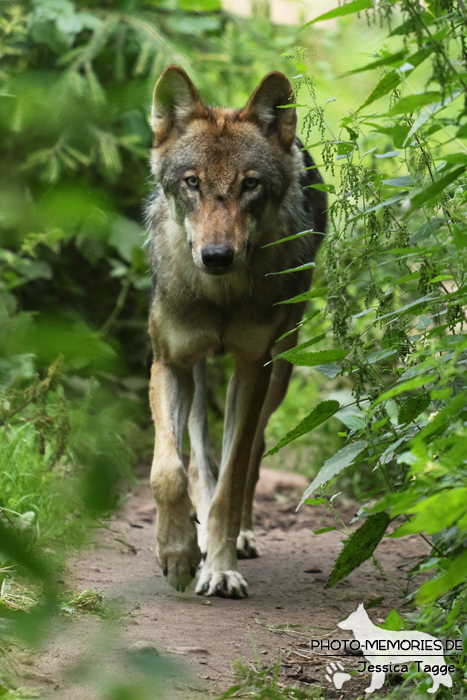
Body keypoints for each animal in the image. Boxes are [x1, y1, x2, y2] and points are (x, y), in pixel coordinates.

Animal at [145, 65, 326, 600]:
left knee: (252, 453)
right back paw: (199, 533)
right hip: (199, 372)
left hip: (280, 367)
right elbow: (168, 471)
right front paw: (179, 552)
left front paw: (221, 569)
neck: (220, 295)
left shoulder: (251, 368)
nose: (217, 256)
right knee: (198, 456)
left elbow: (232, 476)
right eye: (192, 183)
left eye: (250, 185)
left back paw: (235, 537)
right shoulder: (169, 363)